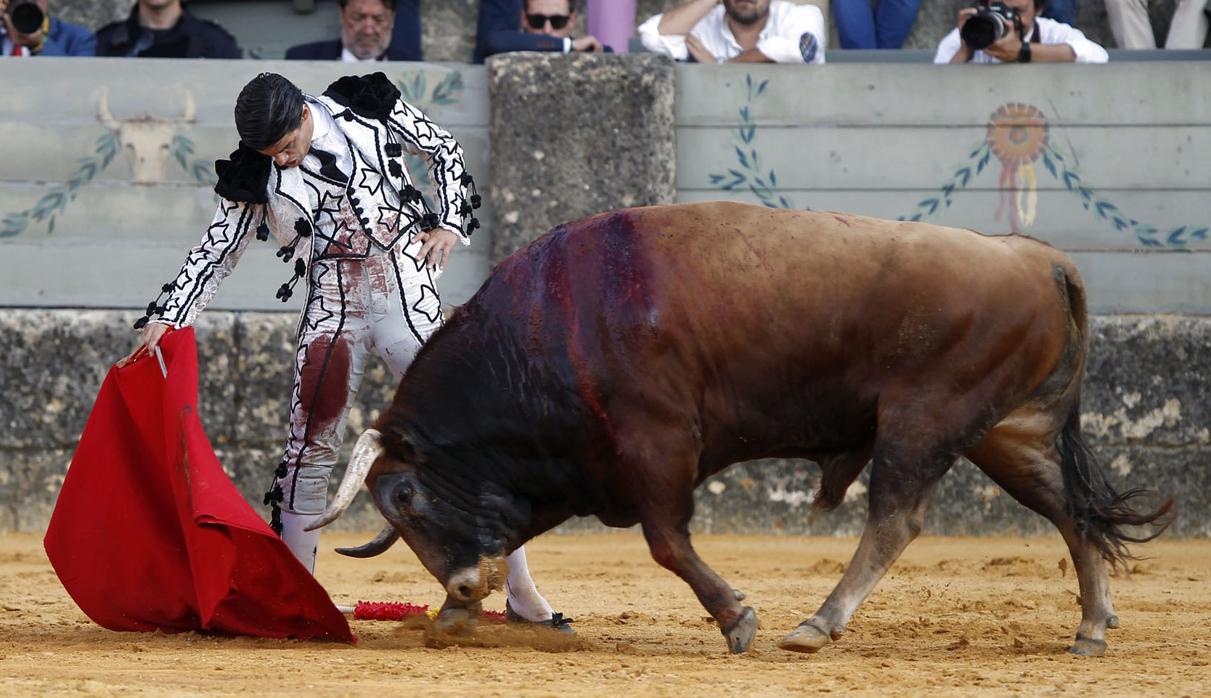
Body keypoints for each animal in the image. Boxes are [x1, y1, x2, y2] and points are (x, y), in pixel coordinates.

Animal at [307, 199, 1167, 654]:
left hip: (923, 420)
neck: (550, 329)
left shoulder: (657, 445)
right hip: (1006, 433)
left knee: (896, 519)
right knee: (1069, 511)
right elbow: (522, 530)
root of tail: (1037, 258)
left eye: (407, 501)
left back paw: (817, 623)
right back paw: (1092, 624)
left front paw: (736, 617)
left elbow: (666, 542)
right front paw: (457, 615)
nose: (455, 584)